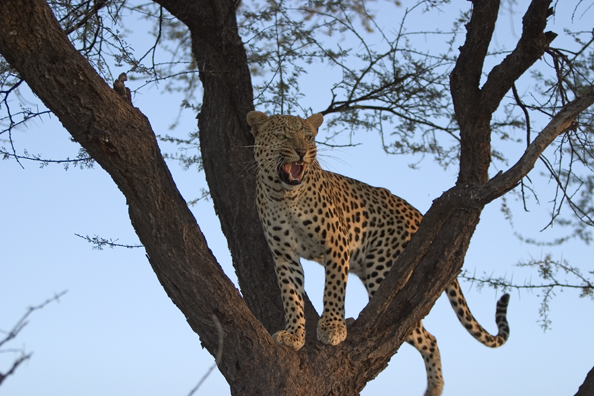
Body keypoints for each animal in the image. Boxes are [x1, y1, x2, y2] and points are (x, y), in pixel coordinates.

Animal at [245, 110, 508, 394]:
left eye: (308, 137)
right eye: (282, 136)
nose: (302, 151)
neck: (284, 196)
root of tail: (419, 214)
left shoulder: (336, 243)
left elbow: (333, 289)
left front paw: (332, 327)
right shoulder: (284, 255)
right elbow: (291, 296)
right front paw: (294, 334)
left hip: (383, 268)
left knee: (419, 330)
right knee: (428, 338)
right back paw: (433, 386)